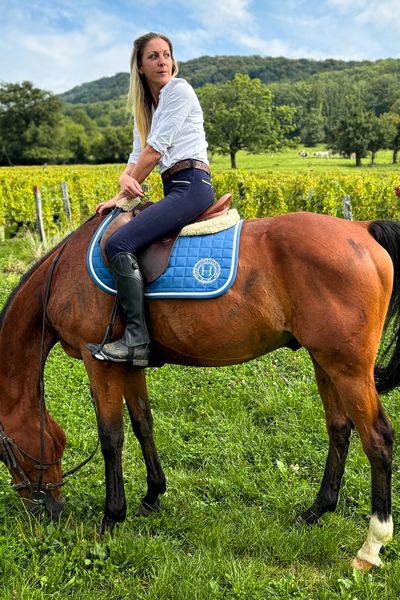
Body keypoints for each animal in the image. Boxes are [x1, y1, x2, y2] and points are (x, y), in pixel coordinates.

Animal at [0, 211, 400, 572]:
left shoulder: (98, 361)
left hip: (348, 369)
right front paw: (153, 495)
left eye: (5, 453)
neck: (64, 273)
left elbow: (112, 437)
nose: (47, 510)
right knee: (339, 428)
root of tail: (360, 228)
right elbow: (143, 424)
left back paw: (371, 547)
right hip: (324, 361)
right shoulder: (129, 361)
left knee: (377, 440)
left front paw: (111, 518)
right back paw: (316, 510)